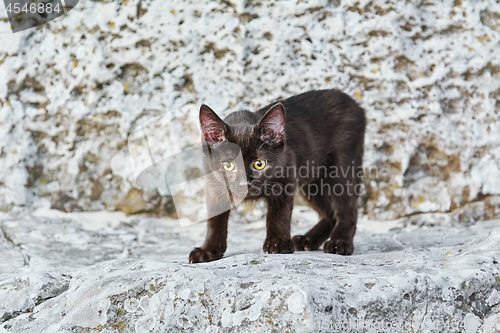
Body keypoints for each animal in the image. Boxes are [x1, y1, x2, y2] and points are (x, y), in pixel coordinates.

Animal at [189, 88, 366, 262]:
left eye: (259, 163)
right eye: (228, 165)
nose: (245, 183)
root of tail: (354, 103)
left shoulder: (286, 178)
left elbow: (279, 215)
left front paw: (278, 242)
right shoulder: (213, 185)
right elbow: (214, 221)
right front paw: (209, 250)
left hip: (342, 166)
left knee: (347, 208)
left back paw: (339, 242)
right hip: (313, 181)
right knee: (330, 214)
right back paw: (307, 241)